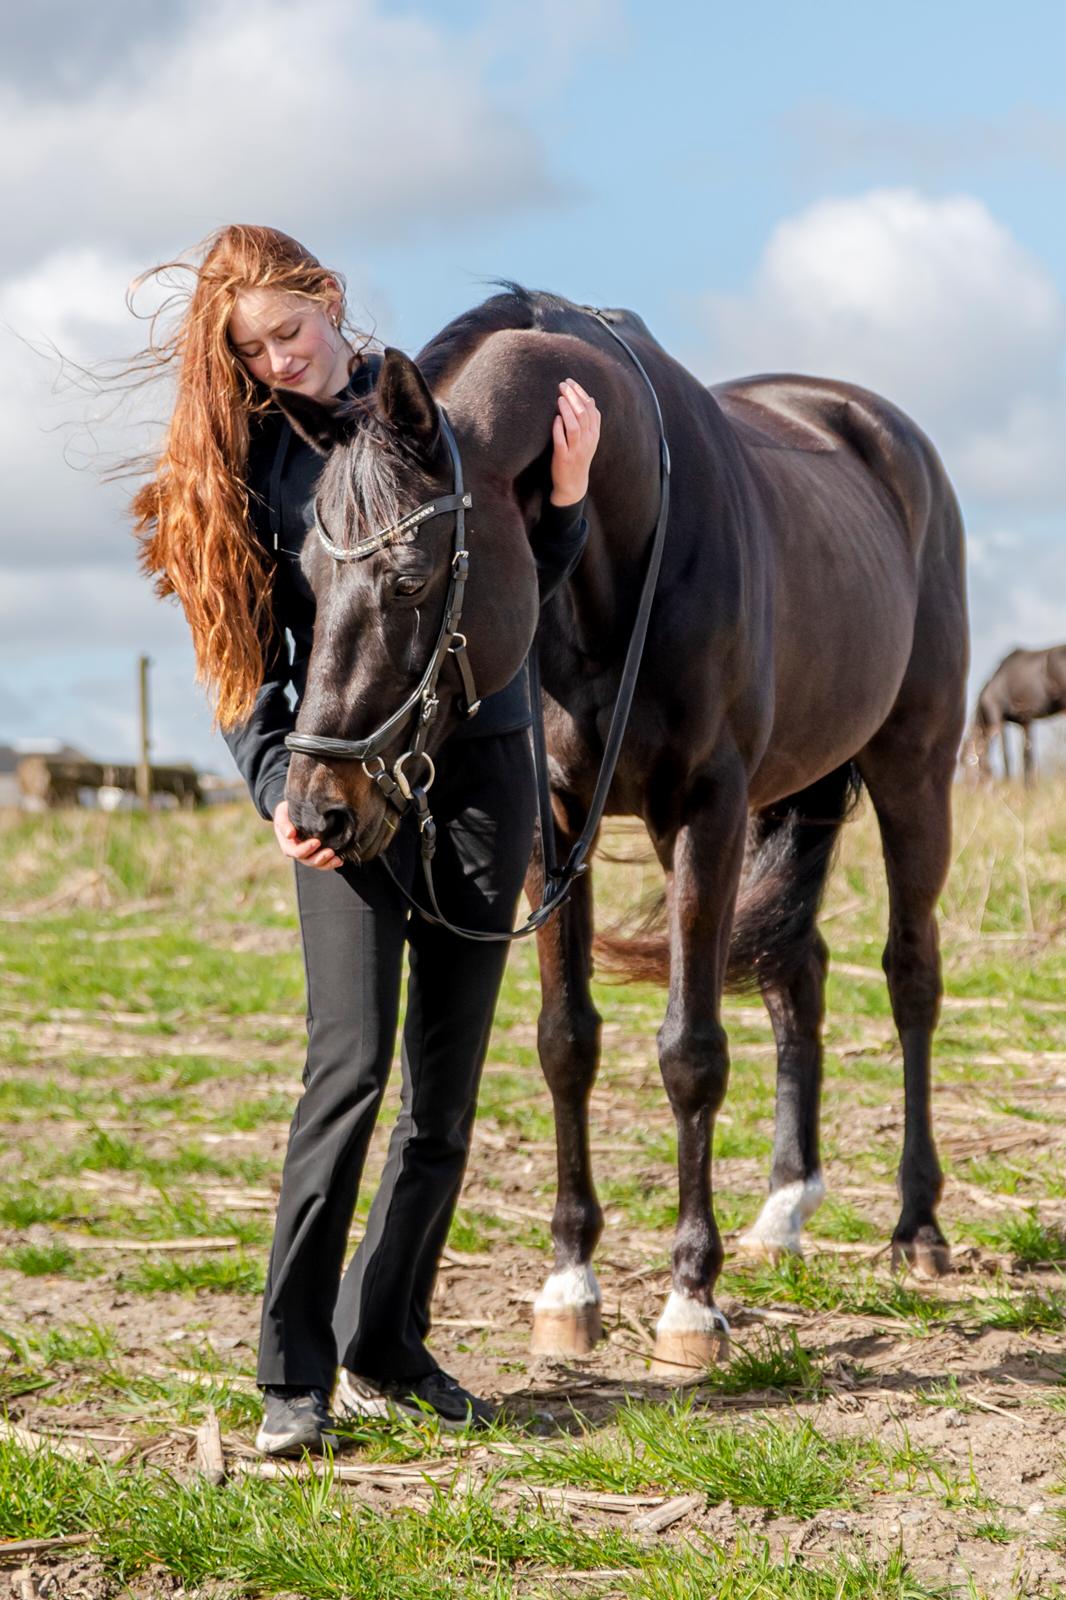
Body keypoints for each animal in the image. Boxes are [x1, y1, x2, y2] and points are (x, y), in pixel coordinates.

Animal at [278, 288, 966, 1376]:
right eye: (304, 566)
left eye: (413, 576)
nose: (317, 810)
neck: (624, 541)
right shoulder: (556, 824)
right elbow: (567, 1041)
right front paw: (570, 1283)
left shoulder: (707, 810)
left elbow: (690, 1051)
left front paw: (691, 1299)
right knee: (798, 969)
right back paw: (784, 1211)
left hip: (912, 773)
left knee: (910, 975)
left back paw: (917, 1227)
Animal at [960, 640, 1062, 784]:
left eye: (969, 760)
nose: (968, 786)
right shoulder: (1023, 721)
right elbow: (1021, 754)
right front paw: (1026, 785)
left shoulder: (999, 720)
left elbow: (1012, 755)